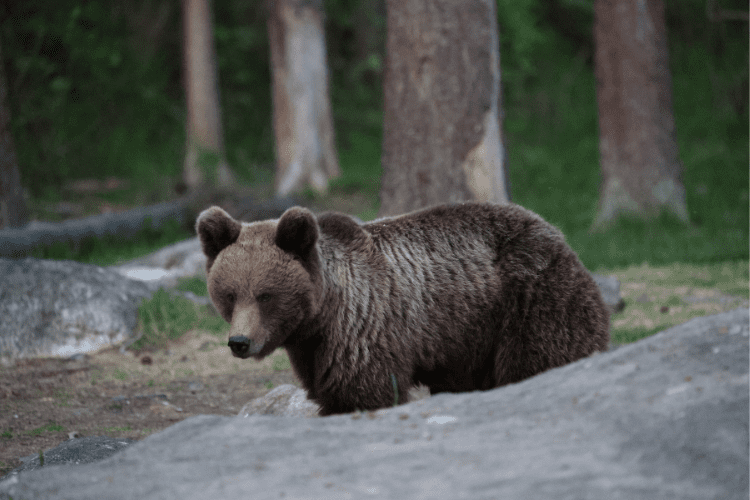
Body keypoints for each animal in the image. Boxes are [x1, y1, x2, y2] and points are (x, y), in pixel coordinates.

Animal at [196, 202, 609, 416]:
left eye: (265, 295)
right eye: (230, 294)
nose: (240, 342)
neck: (321, 317)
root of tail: (559, 237)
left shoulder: (365, 331)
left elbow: (361, 394)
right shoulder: (314, 350)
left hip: (531, 301)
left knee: (543, 358)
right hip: (471, 338)